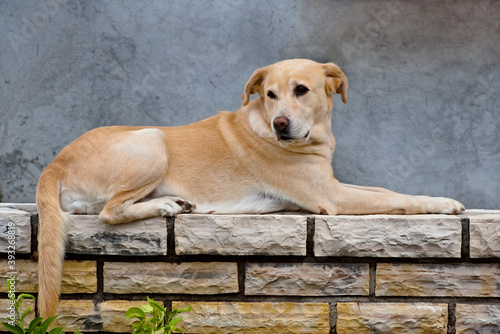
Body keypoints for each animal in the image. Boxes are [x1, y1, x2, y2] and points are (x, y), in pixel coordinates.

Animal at [36, 58, 464, 318]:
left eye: (302, 90)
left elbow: (386, 190)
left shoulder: (332, 183)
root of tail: (56, 162)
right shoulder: (331, 197)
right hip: (153, 140)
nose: (279, 124)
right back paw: (167, 205)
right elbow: (401, 199)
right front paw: (443, 202)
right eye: (270, 94)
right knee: (111, 212)